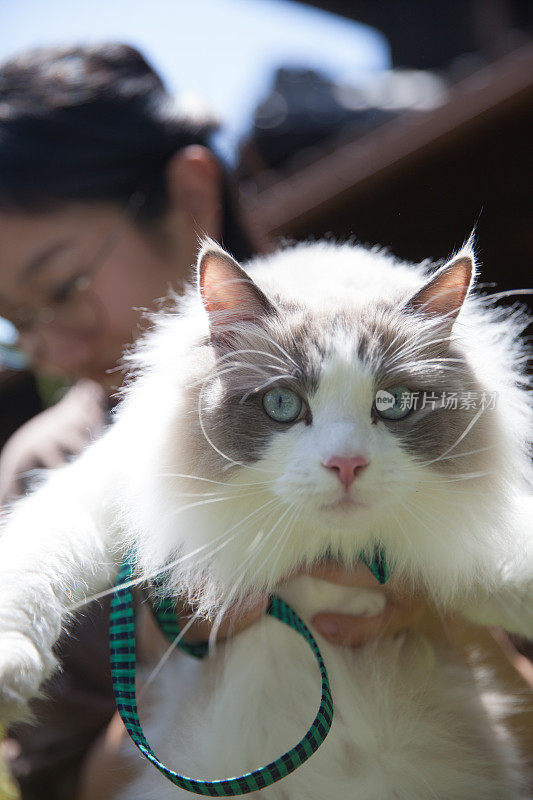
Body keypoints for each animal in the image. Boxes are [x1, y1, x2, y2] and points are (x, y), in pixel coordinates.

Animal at [1, 239, 532, 800]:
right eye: (282, 404)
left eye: (392, 404)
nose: (347, 464)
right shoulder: (105, 496)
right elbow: (36, 566)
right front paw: (11, 670)